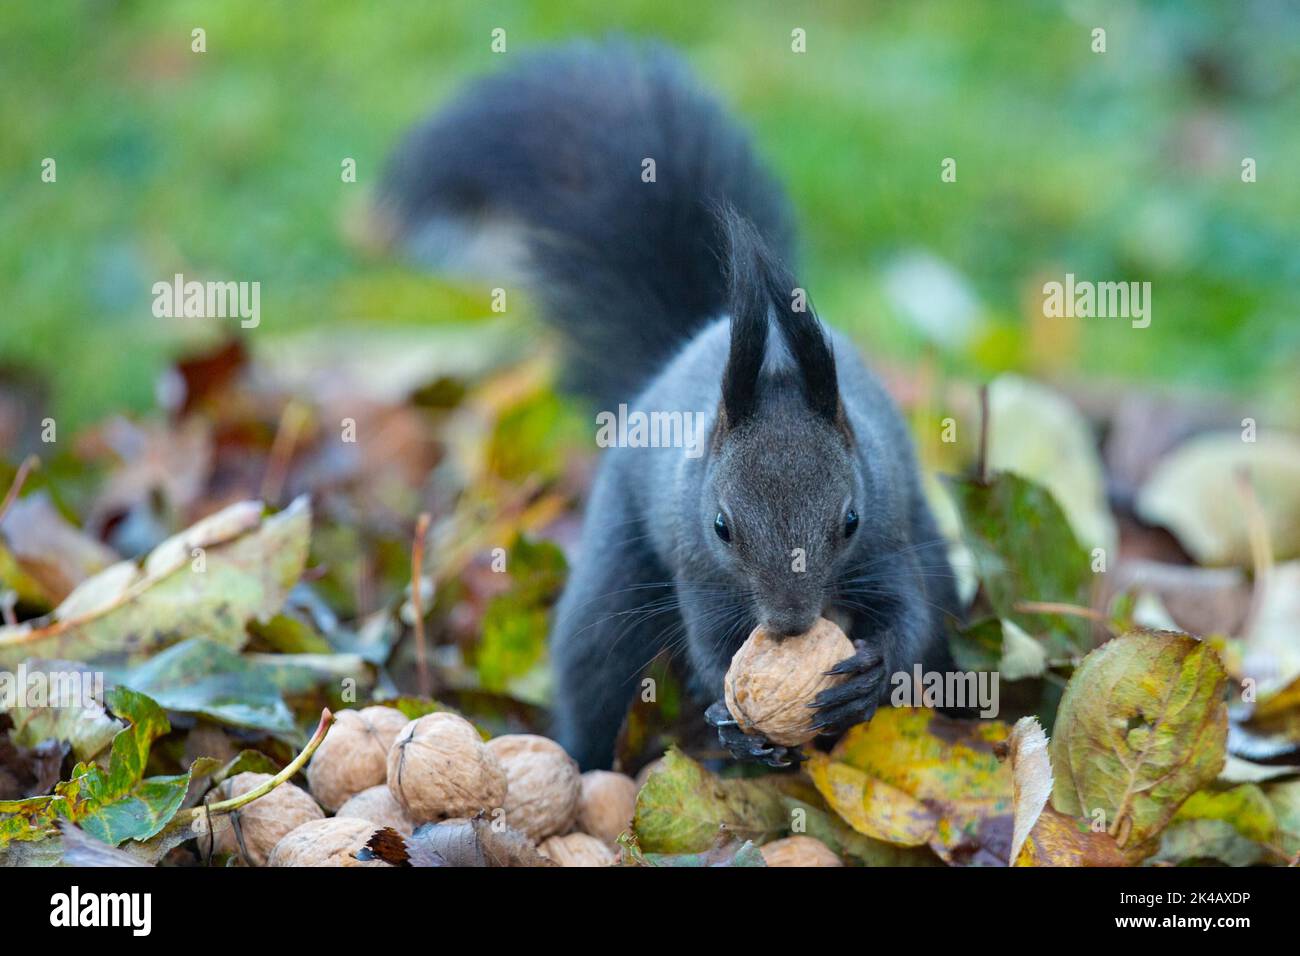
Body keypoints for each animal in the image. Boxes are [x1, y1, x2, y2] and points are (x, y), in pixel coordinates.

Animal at [379, 39, 961, 770]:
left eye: (849, 520)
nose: (789, 624)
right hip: (613, 587)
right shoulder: (697, 566)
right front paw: (737, 724)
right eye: (722, 527)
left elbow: (909, 618)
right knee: (597, 672)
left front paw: (868, 677)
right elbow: (711, 647)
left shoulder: (886, 532)